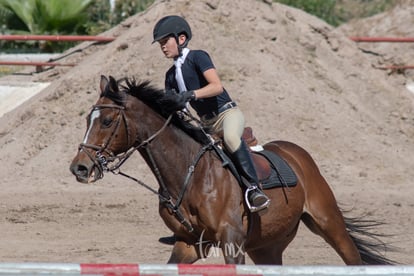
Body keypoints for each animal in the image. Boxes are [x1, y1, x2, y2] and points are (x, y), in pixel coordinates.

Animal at [70, 75, 394, 266]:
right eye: (87, 119)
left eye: (107, 121)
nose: (79, 168)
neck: (188, 173)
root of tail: (297, 153)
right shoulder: (188, 244)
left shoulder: (231, 241)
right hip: (266, 246)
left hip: (328, 223)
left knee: (352, 257)